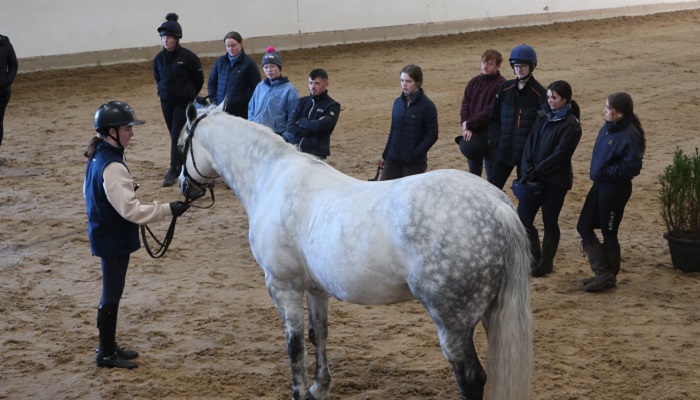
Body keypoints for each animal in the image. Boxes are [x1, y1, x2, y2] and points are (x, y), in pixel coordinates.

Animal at [178, 102, 533, 400]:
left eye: (182, 145)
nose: (183, 185)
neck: (272, 179)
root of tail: (496, 205)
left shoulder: (282, 286)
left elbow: (294, 345)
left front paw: (300, 392)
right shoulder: (316, 288)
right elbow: (318, 334)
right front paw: (320, 387)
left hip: (453, 324)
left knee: (471, 379)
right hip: (489, 314)